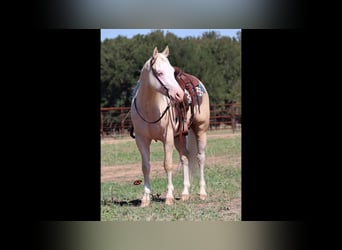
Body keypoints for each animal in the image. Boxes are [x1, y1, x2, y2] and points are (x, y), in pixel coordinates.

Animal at [131, 46, 210, 206]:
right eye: (160, 73)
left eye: (172, 72)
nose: (180, 95)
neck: (149, 108)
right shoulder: (141, 140)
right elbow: (146, 167)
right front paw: (145, 198)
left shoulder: (167, 138)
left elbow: (167, 165)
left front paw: (169, 197)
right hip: (179, 136)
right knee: (185, 158)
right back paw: (185, 193)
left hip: (201, 130)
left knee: (200, 158)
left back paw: (202, 193)